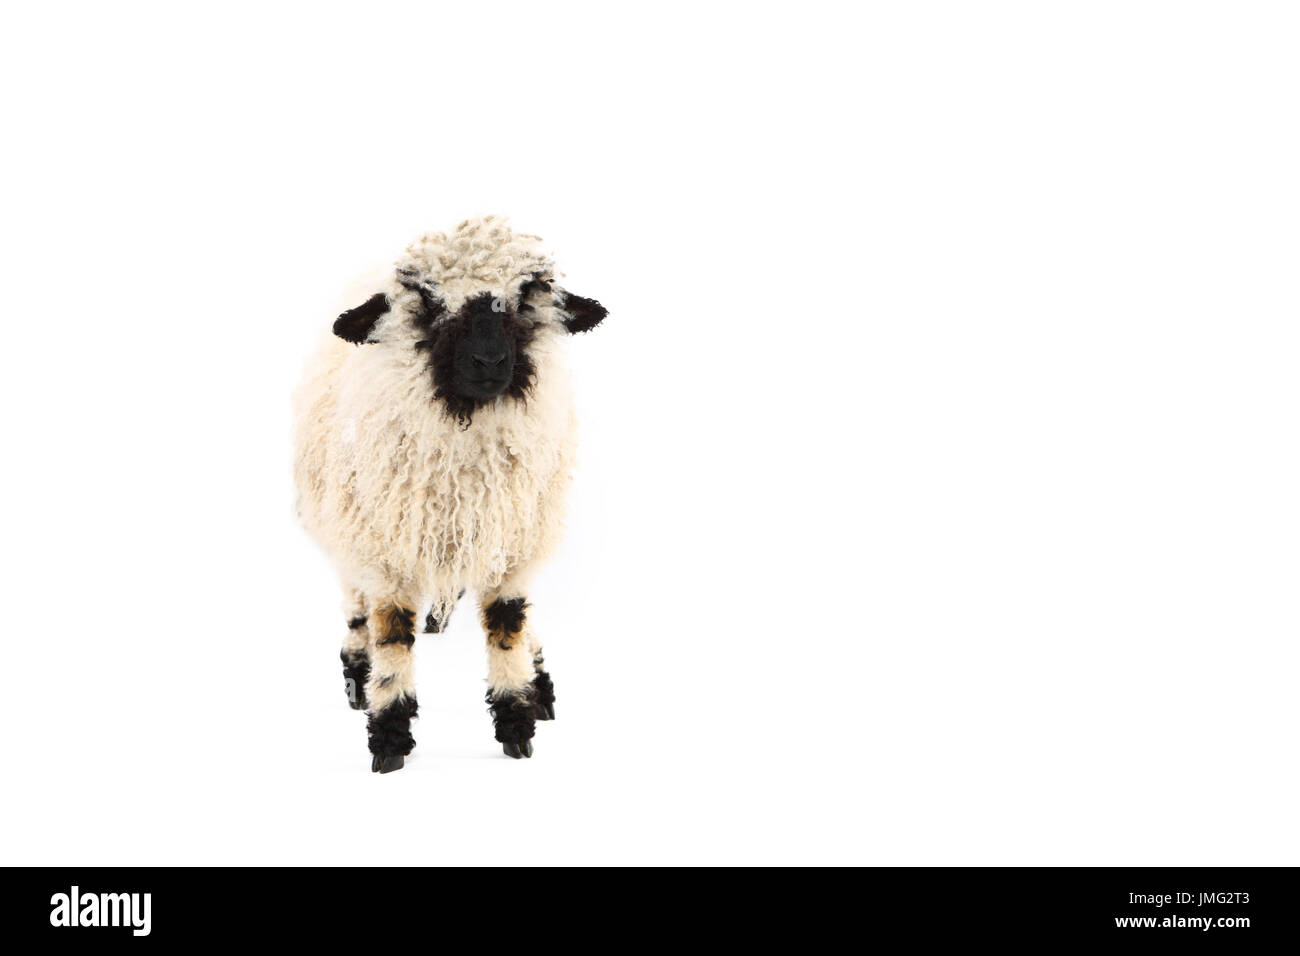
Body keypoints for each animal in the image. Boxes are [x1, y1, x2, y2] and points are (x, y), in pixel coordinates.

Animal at [292, 217, 605, 770]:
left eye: (526, 296)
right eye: (428, 301)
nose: (488, 360)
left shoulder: (512, 547)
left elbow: (508, 627)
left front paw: (517, 721)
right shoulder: (386, 553)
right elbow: (392, 635)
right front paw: (389, 737)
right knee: (356, 606)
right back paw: (356, 676)